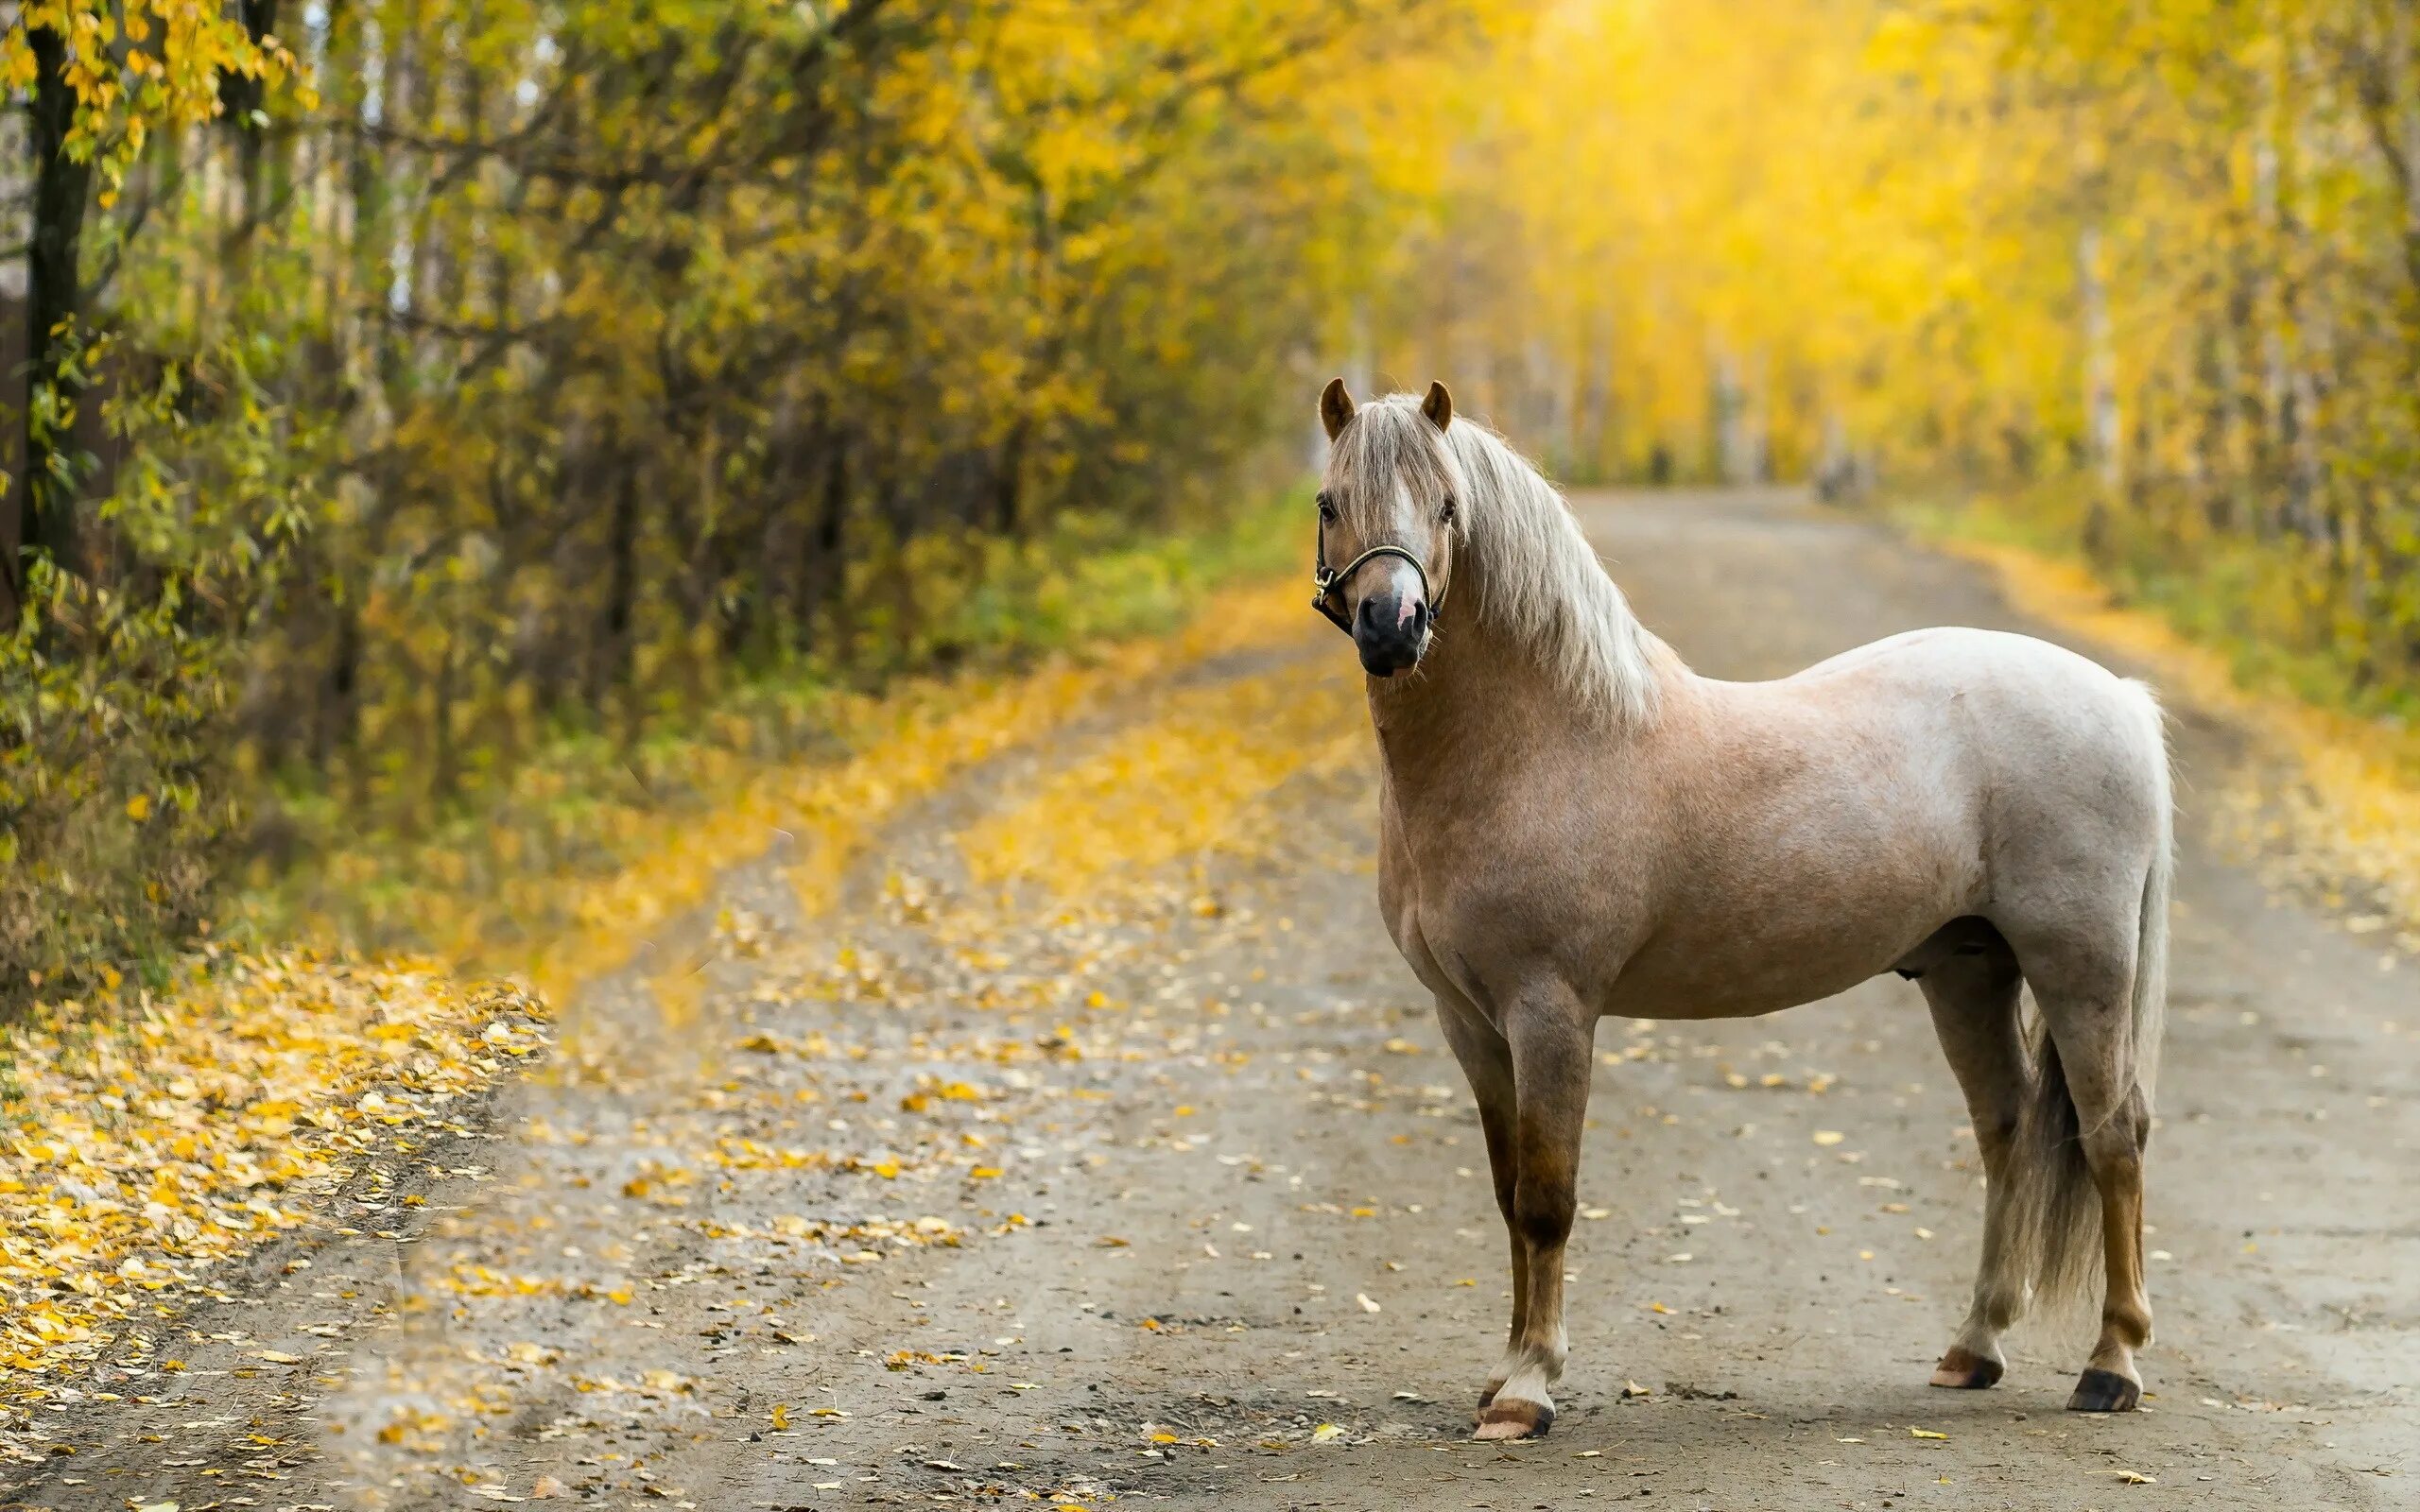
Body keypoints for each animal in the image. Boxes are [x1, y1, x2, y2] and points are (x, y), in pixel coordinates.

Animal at [1316, 377, 2187, 1441]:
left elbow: (1547, 1199)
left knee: (2113, 1136)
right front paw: (1500, 1378)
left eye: (1447, 507)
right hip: (1967, 970)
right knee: (2008, 1125)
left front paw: (1528, 1389)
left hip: (2082, 966)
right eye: (1329, 502)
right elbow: (1506, 1190)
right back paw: (1972, 1348)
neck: (1542, 744)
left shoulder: (1550, 1012)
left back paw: (2111, 1366)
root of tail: (2118, 696)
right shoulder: (1469, 1022)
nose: (1391, 627)